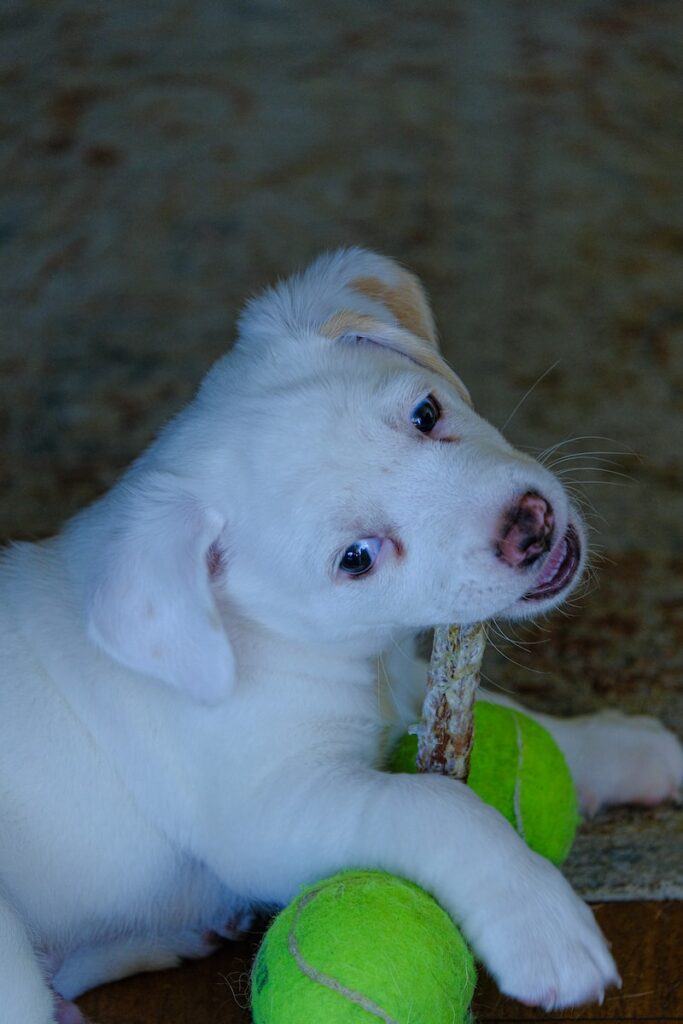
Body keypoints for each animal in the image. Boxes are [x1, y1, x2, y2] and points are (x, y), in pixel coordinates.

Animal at [1, 245, 683, 1015]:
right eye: (355, 559)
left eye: (426, 412)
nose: (529, 527)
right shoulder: (275, 813)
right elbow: (436, 808)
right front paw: (539, 921)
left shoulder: (405, 685)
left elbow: (521, 718)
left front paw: (619, 746)